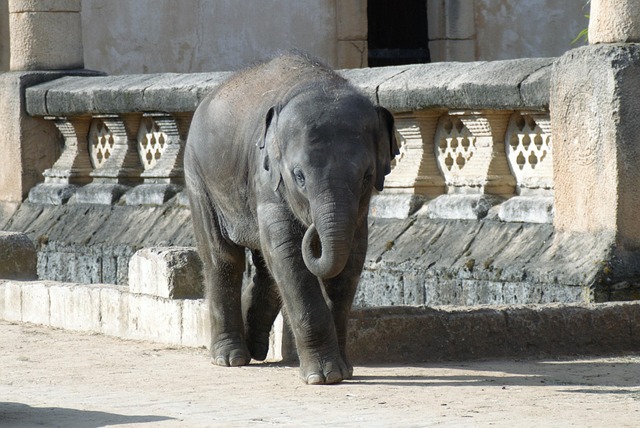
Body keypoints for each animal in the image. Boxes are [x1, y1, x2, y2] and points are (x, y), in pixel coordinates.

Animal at [184, 53, 398, 385]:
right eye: (299, 177)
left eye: (366, 176)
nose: (312, 228)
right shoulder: (266, 178)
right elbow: (287, 252)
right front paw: (323, 377)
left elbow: (351, 257)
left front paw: (344, 370)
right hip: (198, 175)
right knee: (223, 258)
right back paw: (230, 358)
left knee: (266, 270)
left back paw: (256, 348)